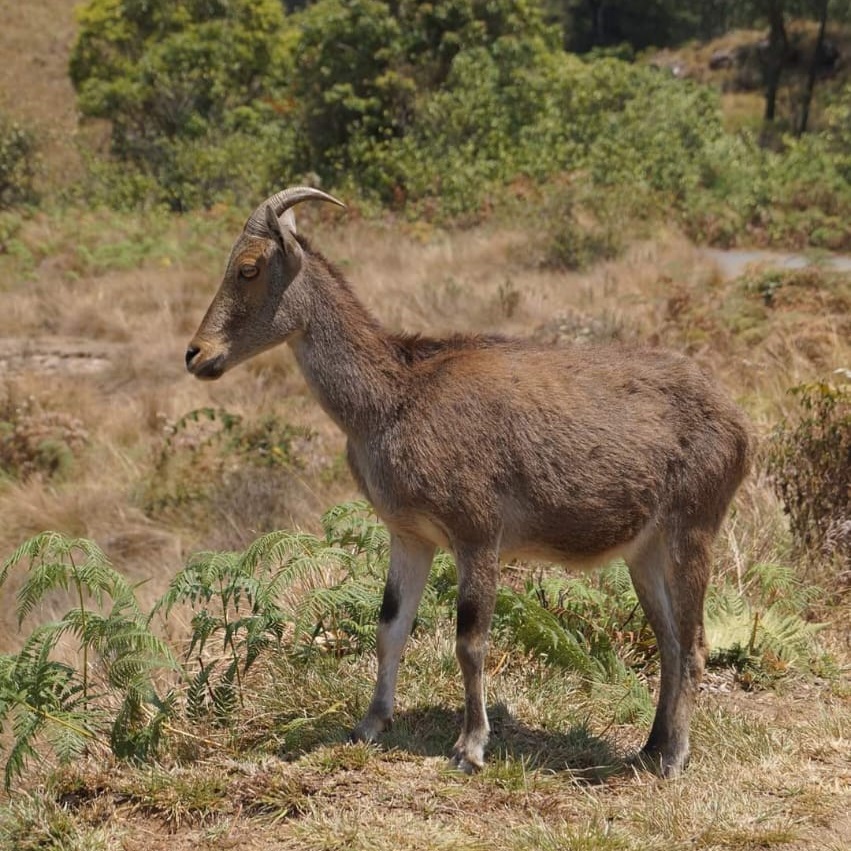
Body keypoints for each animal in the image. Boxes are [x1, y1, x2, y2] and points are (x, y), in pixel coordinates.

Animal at [186, 186, 752, 780]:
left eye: (249, 267)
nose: (197, 354)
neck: (393, 398)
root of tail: (740, 426)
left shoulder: (477, 530)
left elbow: (470, 641)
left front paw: (471, 746)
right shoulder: (410, 535)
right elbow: (390, 627)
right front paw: (369, 724)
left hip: (694, 527)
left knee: (693, 644)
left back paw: (674, 757)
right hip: (644, 551)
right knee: (668, 640)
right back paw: (650, 747)